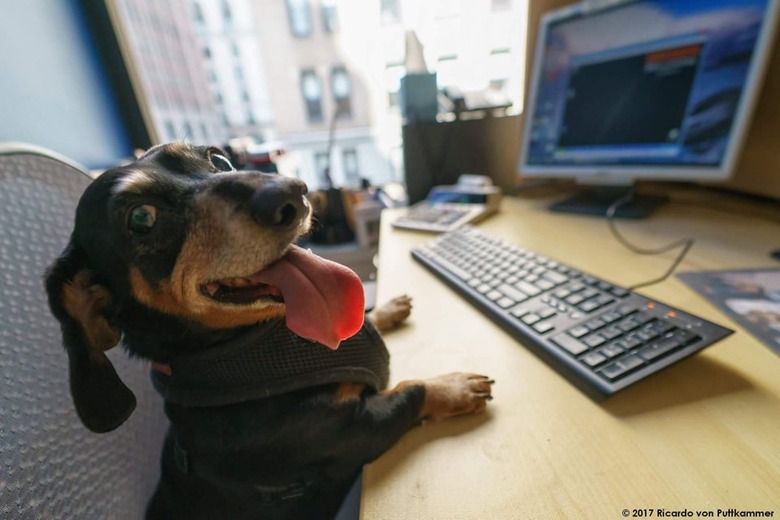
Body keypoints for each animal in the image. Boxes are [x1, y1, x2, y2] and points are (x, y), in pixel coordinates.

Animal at [45, 142, 494, 520]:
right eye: (141, 218)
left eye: (218, 159)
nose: (293, 193)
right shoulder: (354, 430)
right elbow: (412, 390)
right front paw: (454, 387)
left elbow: (360, 318)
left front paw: (386, 309)